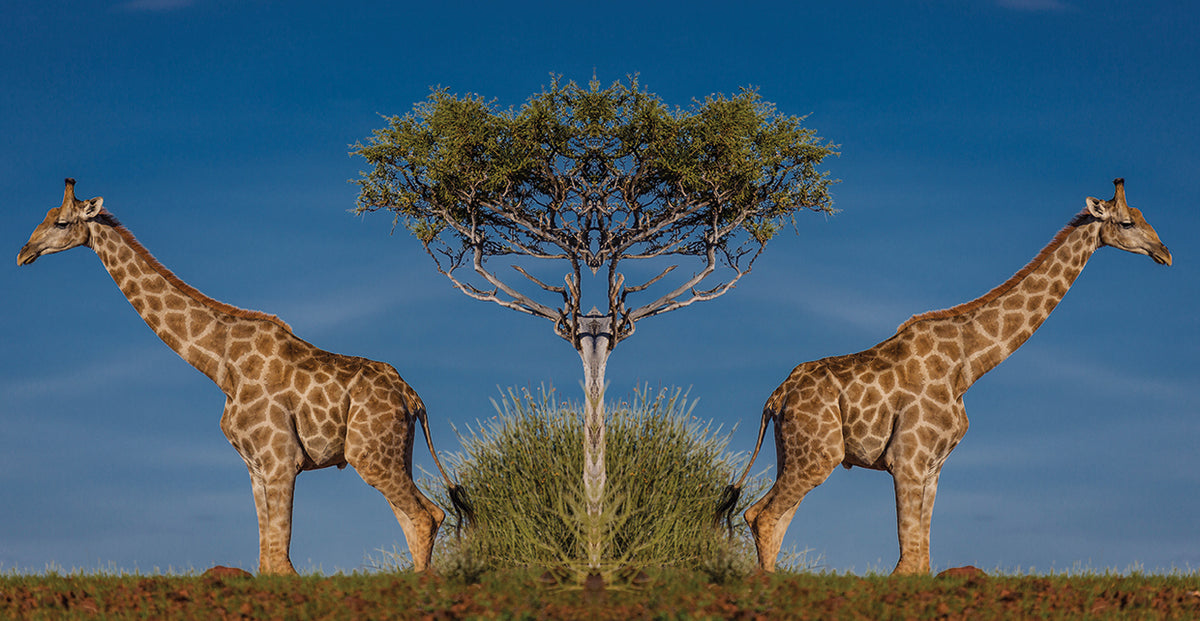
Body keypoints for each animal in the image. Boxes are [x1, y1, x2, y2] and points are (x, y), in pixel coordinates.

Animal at [17, 178, 472, 575]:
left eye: (62, 222)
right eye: (46, 216)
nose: (23, 253)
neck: (220, 365)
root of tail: (412, 397)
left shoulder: (281, 459)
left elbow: (280, 562)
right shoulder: (254, 467)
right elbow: (267, 559)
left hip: (369, 453)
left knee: (424, 516)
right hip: (392, 453)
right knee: (419, 517)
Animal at [715, 178, 1171, 575]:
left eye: (1143, 216)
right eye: (1126, 222)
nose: (1165, 253)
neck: (968, 366)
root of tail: (776, 397)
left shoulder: (933, 467)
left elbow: (922, 560)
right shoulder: (907, 459)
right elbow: (908, 563)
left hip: (796, 453)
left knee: (771, 517)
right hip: (819, 453)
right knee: (763, 516)